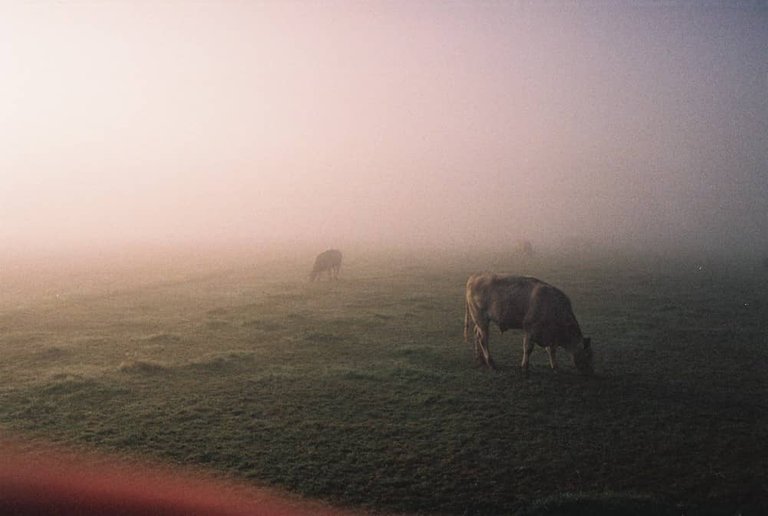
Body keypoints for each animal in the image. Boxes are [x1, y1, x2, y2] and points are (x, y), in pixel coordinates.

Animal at [462, 274, 592, 374]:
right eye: (587, 354)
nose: (589, 371)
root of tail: (474, 278)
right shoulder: (530, 330)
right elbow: (528, 349)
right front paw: (525, 367)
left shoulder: (549, 336)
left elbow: (551, 350)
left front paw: (555, 366)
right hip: (482, 321)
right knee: (483, 339)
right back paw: (491, 363)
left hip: (480, 322)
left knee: (476, 334)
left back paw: (480, 359)